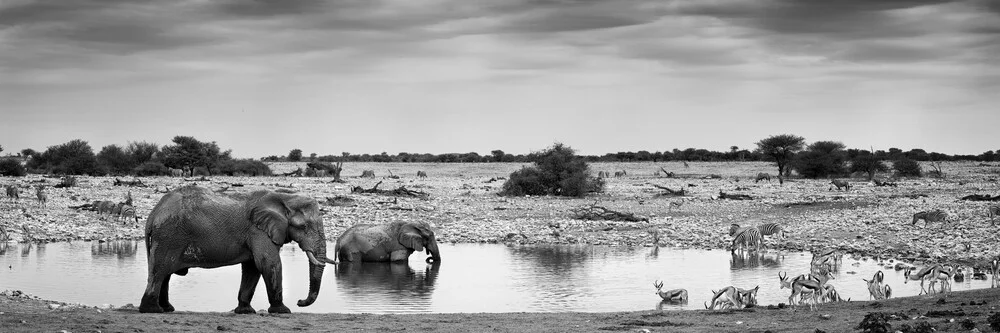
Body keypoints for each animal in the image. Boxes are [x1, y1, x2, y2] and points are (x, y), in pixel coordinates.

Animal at [138, 185, 336, 312]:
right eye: (303, 227)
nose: (300, 301)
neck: (284, 197)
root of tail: (154, 213)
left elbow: (253, 267)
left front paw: (245, 311)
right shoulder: (258, 230)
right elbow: (268, 263)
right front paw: (283, 311)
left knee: (165, 274)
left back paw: (167, 309)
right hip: (169, 236)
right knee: (160, 271)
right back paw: (152, 310)